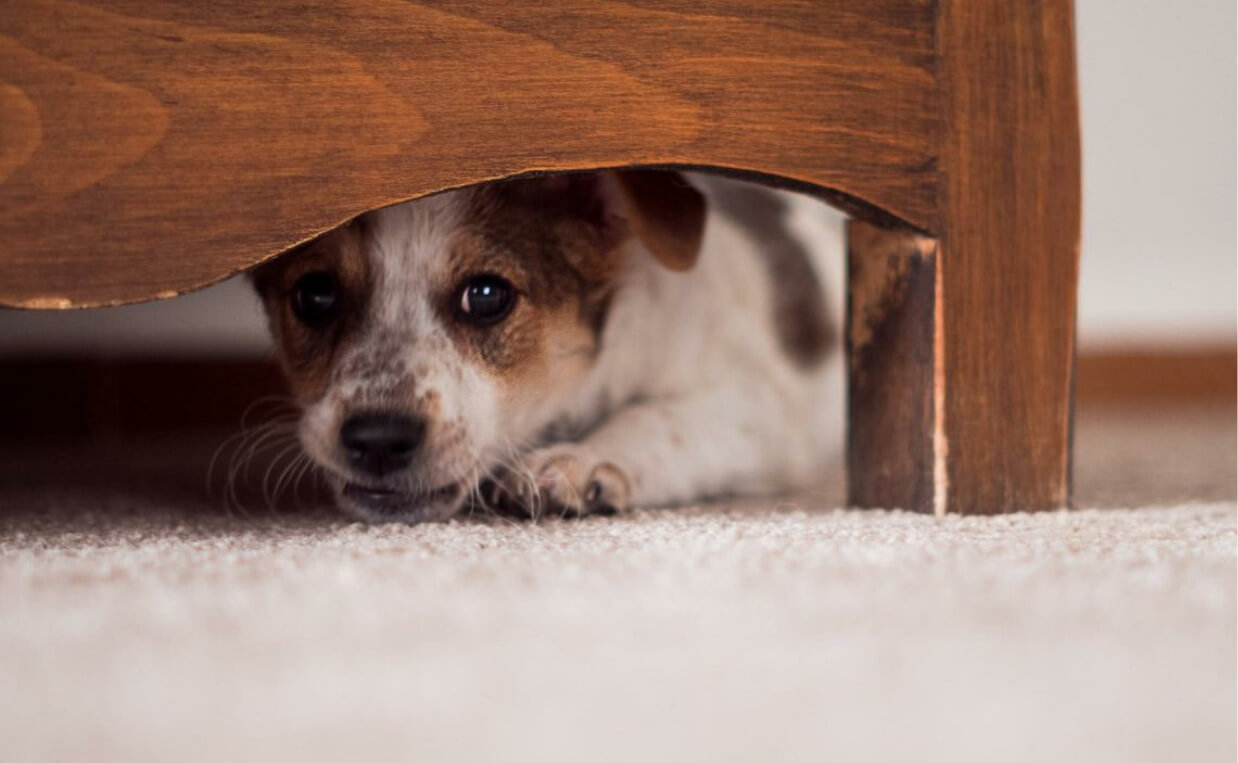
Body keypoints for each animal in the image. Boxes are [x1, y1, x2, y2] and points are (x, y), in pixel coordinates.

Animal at [256, 169, 846, 522]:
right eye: (315, 294)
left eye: (487, 295)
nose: (378, 439)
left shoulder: (758, 405)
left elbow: (659, 416)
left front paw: (581, 460)